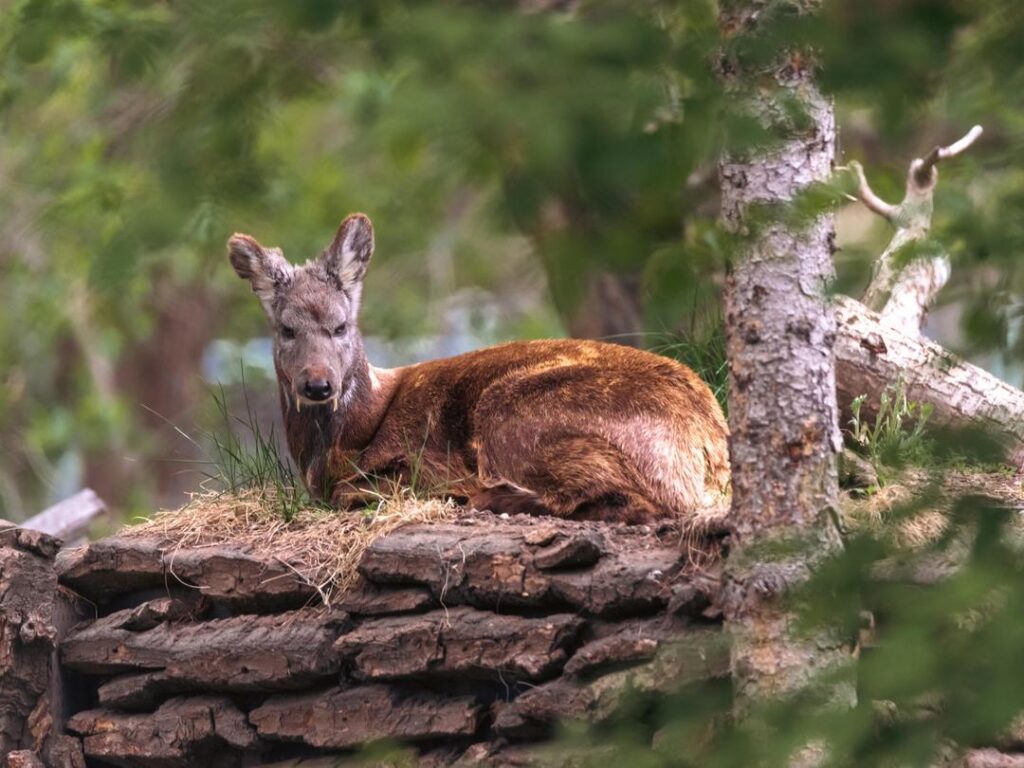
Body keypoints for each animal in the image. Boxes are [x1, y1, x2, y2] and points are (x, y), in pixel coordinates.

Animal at [228, 213, 730, 525]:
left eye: (339, 326)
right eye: (286, 329)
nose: (318, 384)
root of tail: (709, 440)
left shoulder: (422, 459)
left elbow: (358, 489)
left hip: (513, 413)